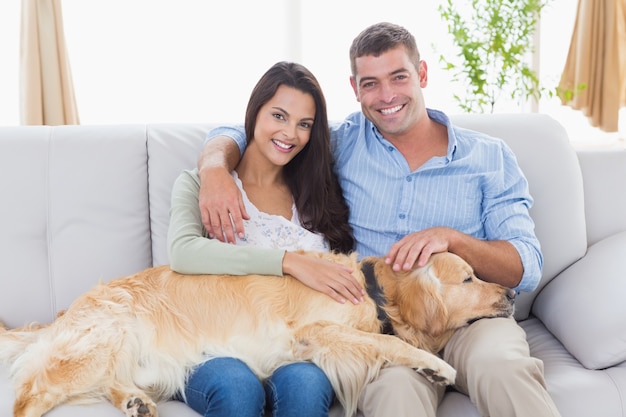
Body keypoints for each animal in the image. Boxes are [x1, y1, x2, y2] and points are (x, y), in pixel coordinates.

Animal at [0, 250, 512, 416]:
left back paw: (135, 403)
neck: (375, 291)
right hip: (103, 337)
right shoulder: (315, 329)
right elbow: (386, 341)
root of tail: (65, 313)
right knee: (27, 397)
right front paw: (437, 365)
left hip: (129, 357)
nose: (511, 292)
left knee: (109, 383)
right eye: (469, 278)